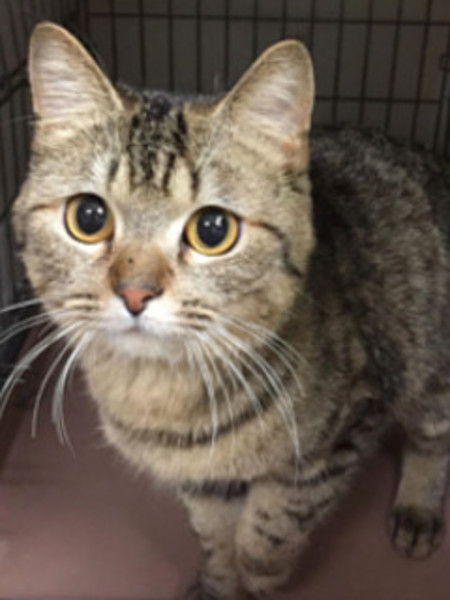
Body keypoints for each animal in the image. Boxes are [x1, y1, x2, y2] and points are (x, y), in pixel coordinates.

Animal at [11, 22, 450, 600]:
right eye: (88, 217)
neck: (160, 396)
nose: (135, 293)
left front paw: (259, 579)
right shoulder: (202, 480)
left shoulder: (336, 441)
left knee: (433, 436)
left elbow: (267, 532)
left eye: (213, 229)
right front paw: (219, 583)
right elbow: (214, 535)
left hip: (432, 367)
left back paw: (418, 508)